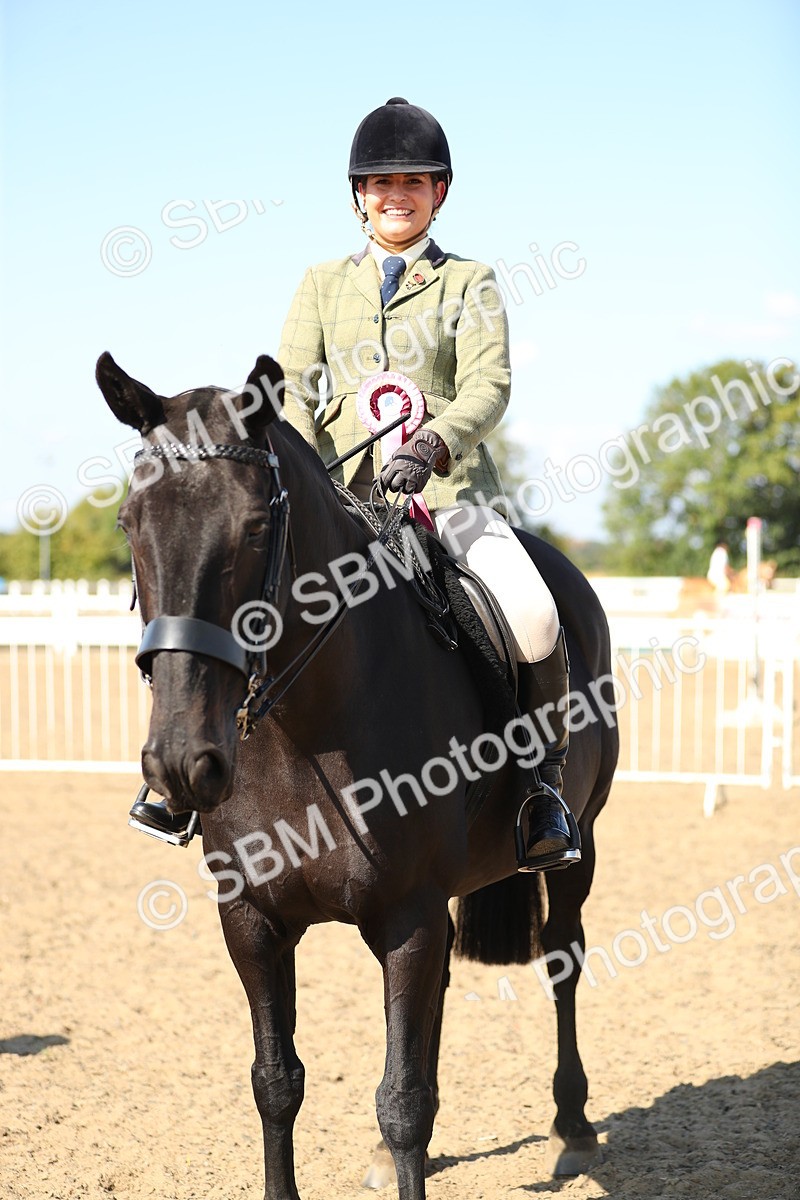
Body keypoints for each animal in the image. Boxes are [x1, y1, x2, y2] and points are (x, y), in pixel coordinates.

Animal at [96, 351, 619, 1200]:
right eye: (129, 524)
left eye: (254, 527)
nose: (179, 761)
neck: (301, 732)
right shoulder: (252, 923)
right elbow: (277, 1082)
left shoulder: (406, 918)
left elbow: (402, 1101)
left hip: (581, 842)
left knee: (562, 958)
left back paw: (572, 1127)